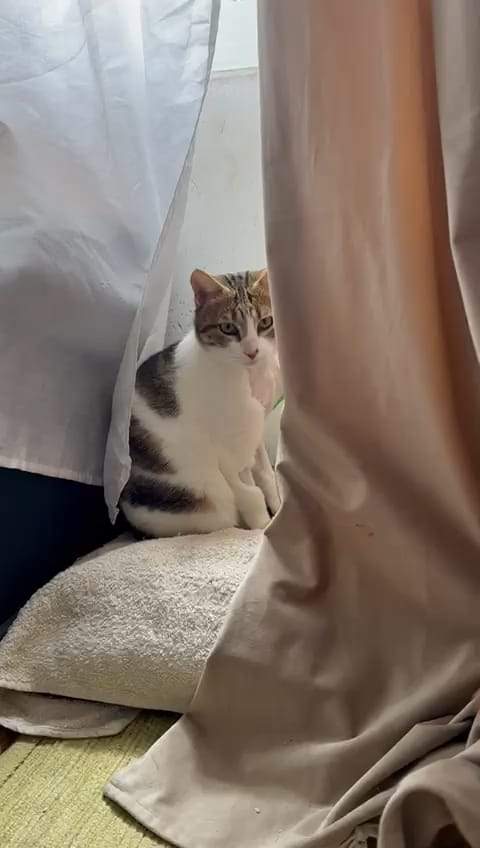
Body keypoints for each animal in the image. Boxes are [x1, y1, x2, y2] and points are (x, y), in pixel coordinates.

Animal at [120, 268, 281, 538]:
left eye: (266, 322)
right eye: (227, 327)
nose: (252, 351)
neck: (249, 376)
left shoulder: (255, 432)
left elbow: (265, 475)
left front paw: (278, 507)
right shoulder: (228, 451)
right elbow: (249, 493)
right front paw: (262, 528)